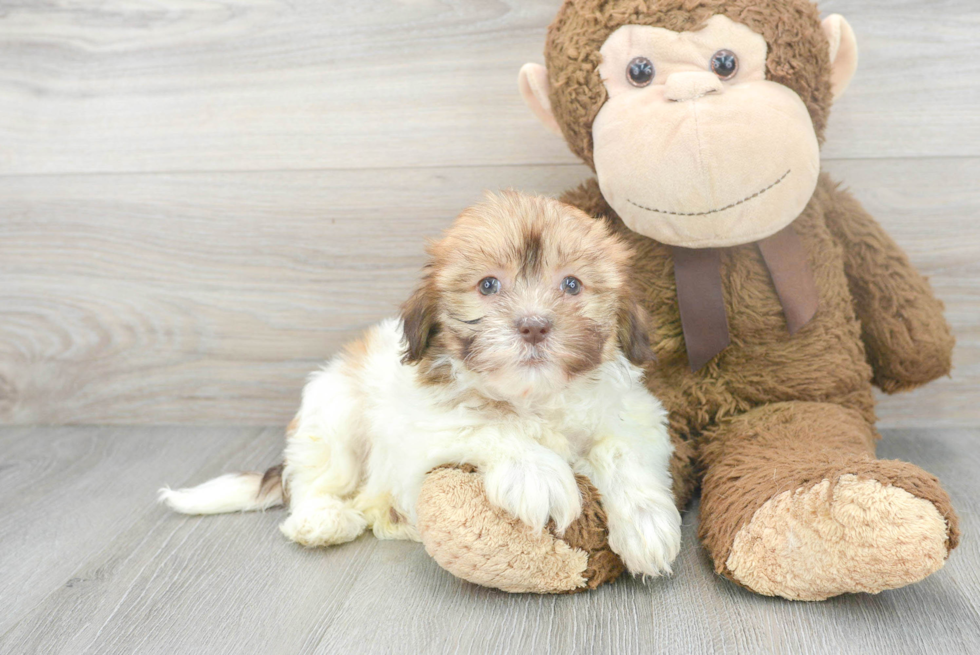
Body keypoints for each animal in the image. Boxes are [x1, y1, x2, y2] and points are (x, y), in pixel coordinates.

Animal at [161, 193, 680, 580]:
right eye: (488, 285)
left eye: (572, 285)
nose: (533, 325)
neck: (530, 399)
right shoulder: (421, 431)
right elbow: (485, 426)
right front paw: (538, 473)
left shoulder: (638, 417)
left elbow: (618, 449)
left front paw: (646, 523)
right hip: (334, 412)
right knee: (316, 479)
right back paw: (322, 520)